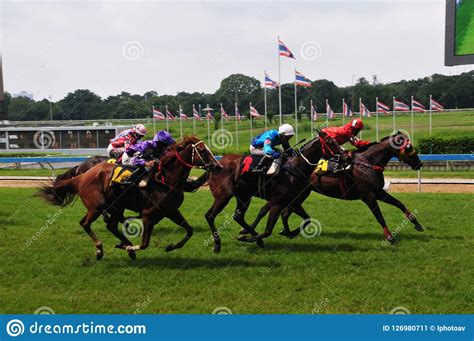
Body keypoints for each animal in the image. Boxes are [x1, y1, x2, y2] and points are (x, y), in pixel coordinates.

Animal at [38, 135, 221, 258]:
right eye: (203, 151)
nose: (217, 166)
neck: (166, 180)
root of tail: (81, 175)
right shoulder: (149, 214)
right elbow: (145, 243)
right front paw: (131, 247)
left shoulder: (170, 211)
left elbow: (189, 231)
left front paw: (170, 247)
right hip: (96, 206)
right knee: (86, 223)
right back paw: (101, 249)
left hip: (116, 206)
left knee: (111, 226)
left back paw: (124, 243)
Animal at [186, 132, 340, 252]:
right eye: (330, 142)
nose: (343, 154)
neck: (293, 170)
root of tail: (214, 165)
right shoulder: (277, 202)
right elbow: (268, 230)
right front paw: (250, 238)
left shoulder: (293, 201)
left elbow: (307, 219)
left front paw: (288, 232)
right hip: (224, 196)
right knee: (210, 215)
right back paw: (219, 244)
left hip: (244, 196)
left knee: (238, 216)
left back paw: (251, 236)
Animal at [250, 131, 424, 244]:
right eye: (409, 147)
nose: (419, 164)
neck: (367, 162)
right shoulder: (368, 195)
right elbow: (379, 215)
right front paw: (389, 236)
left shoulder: (379, 191)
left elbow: (399, 203)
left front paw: (417, 223)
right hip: (298, 193)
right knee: (284, 211)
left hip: (302, 193)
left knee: (285, 212)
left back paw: (287, 232)